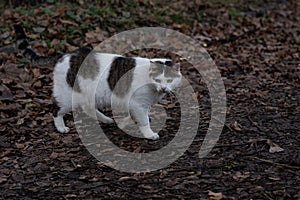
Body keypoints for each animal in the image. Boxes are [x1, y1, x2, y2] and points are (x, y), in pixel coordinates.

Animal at [15, 25, 182, 140]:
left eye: (169, 80)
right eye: (157, 80)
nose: (164, 88)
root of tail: (64, 56)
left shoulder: (136, 104)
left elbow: (134, 116)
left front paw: (124, 123)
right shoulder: (138, 103)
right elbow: (143, 120)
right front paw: (149, 133)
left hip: (91, 95)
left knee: (88, 108)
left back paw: (106, 120)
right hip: (67, 96)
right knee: (56, 110)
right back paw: (61, 128)